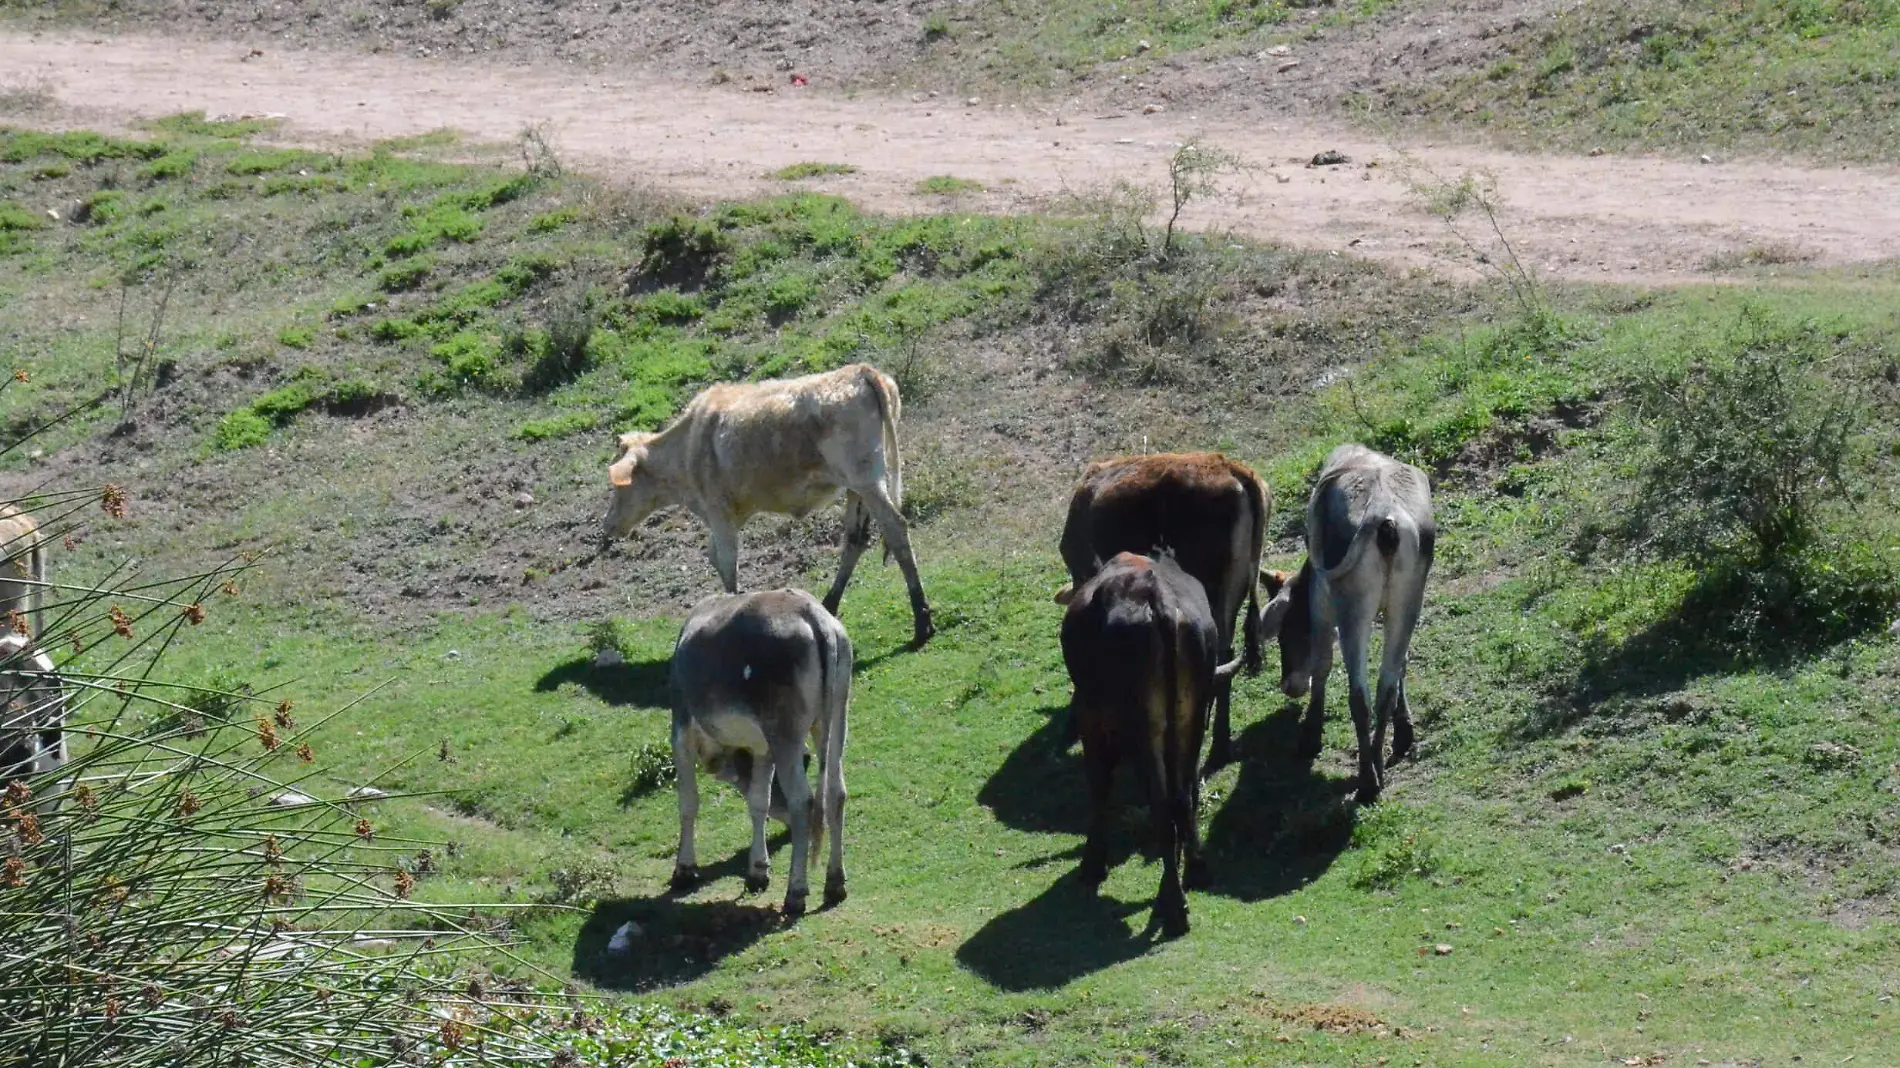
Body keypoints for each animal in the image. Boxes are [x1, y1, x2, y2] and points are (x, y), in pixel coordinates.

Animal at [600, 361, 934, 646]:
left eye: (617, 487)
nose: (607, 524)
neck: (685, 450)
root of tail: (861, 371)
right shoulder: (721, 516)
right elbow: (715, 557)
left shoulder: (719, 513)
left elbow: (728, 563)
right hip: (857, 487)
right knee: (856, 540)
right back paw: (830, 604)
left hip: (866, 479)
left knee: (895, 527)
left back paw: (922, 622)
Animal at [665, 585, 851, 912]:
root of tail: (813, 613)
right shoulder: (762, 748)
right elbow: (758, 802)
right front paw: (757, 872)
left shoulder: (681, 728)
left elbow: (688, 802)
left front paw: (684, 870)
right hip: (835, 718)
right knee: (835, 792)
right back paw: (834, 884)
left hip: (785, 732)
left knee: (803, 801)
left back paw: (795, 893)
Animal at [1056, 547, 1246, 931]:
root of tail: (1155, 596)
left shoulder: (1091, 720)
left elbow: (1099, 786)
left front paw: (1093, 863)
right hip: (1189, 720)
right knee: (1183, 796)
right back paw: (1193, 873)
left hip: (1144, 729)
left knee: (1162, 804)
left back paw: (1173, 904)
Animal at [1254, 440, 1428, 798]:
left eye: (1287, 631)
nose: (1288, 686)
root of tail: (1385, 517)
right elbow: (1402, 667)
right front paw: (1404, 732)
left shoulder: (1321, 604)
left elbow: (1321, 663)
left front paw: (1310, 733)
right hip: (1407, 601)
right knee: (1385, 687)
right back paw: (1378, 763)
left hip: (1352, 608)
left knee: (1359, 695)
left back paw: (1367, 780)